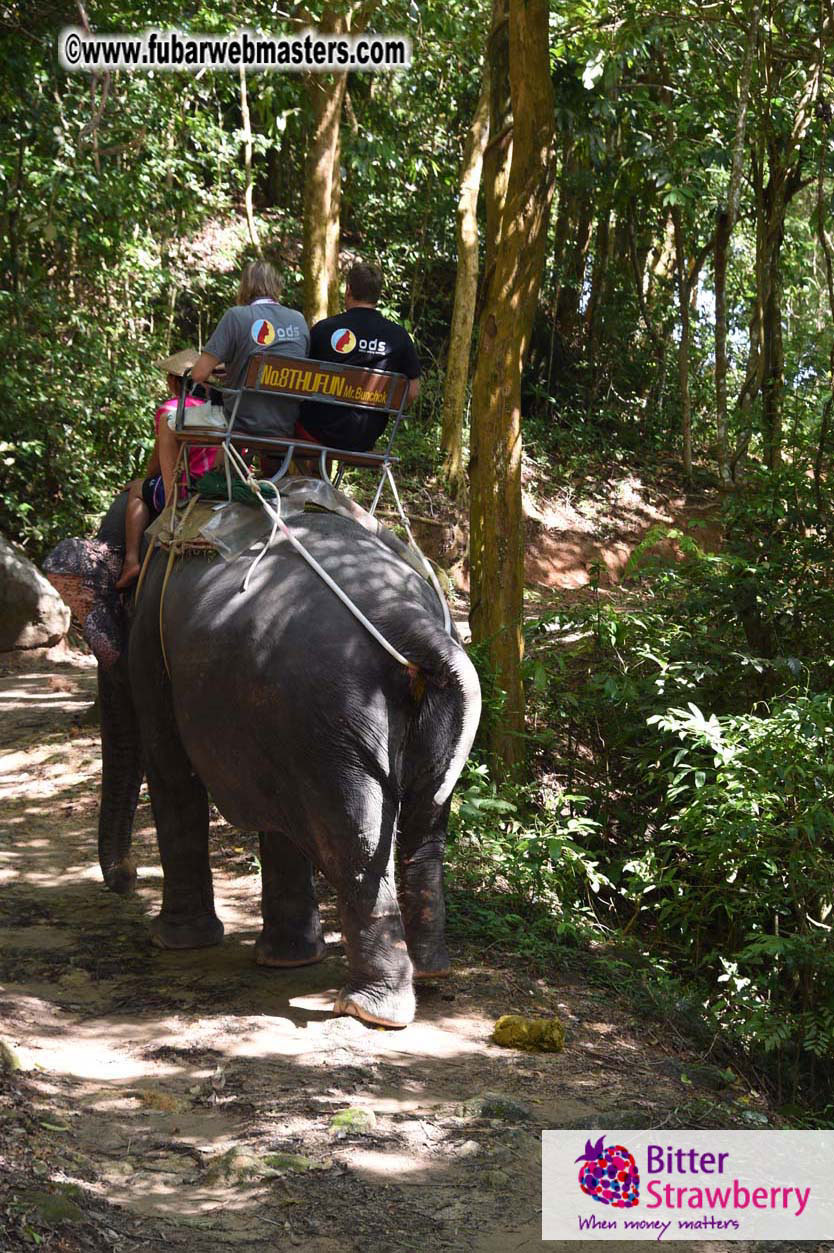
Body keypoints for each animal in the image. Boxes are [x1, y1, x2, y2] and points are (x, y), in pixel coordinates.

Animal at [44, 489, 481, 1028]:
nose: (126, 880)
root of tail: (413, 625)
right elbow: (278, 816)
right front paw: (287, 959)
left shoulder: (149, 642)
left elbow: (173, 773)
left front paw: (175, 942)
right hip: (410, 719)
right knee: (425, 825)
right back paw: (431, 972)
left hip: (334, 714)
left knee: (353, 839)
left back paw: (369, 1009)